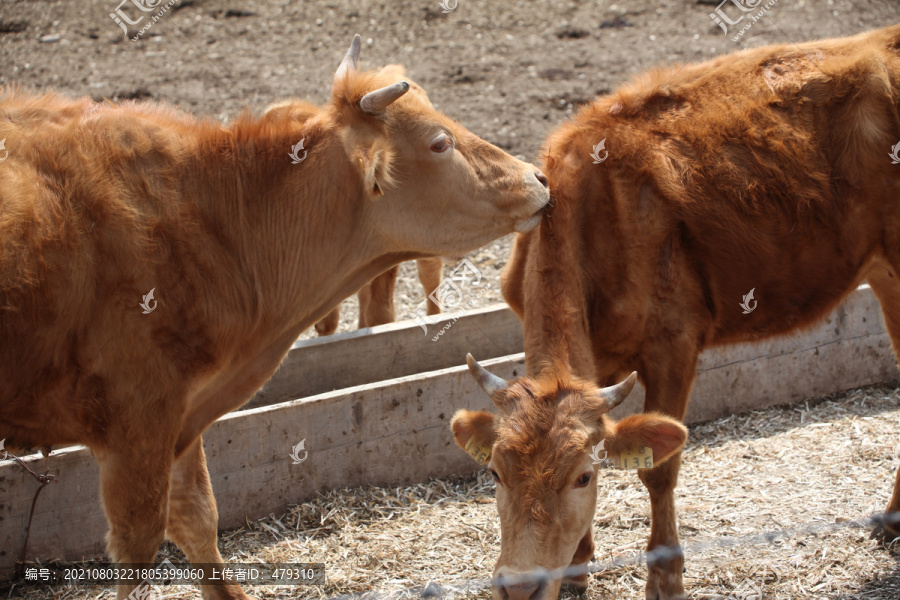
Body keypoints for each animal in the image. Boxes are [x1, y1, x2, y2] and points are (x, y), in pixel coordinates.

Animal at [0, 35, 548, 596]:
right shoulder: (138, 423)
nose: (538, 177)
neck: (217, 222)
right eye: (439, 143)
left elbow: (197, 519)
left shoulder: (181, 418)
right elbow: (137, 553)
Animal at [454, 22, 900, 600]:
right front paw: (578, 565)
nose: (518, 585)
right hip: (885, 271)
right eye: (495, 474)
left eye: (582, 476)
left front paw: (665, 576)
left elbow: (659, 470)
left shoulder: (674, 344)